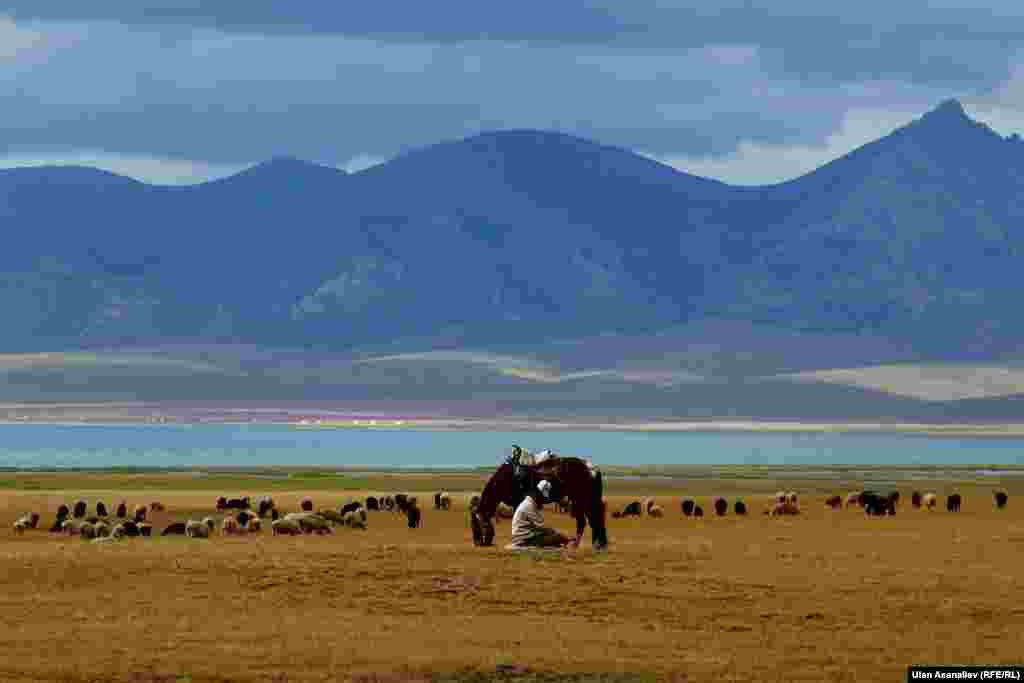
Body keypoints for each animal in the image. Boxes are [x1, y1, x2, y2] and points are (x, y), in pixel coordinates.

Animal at [471, 456, 606, 552]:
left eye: (478, 526)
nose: (478, 543)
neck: (504, 480)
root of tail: (592, 469)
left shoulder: (517, 502)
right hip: (579, 501)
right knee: (587, 520)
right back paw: (592, 544)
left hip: (583, 499)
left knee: (591, 519)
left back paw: (588, 545)